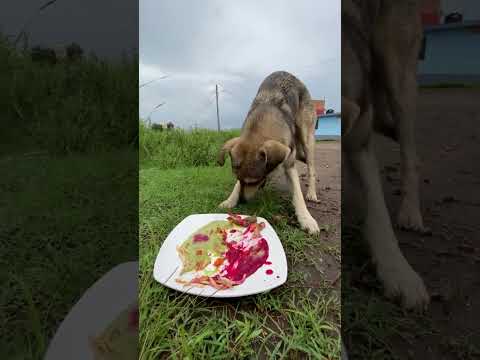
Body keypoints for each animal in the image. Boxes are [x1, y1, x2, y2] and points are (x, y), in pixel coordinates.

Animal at [218, 71, 318, 233]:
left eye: (254, 181)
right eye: (237, 178)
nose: (242, 201)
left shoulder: (289, 164)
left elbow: (297, 194)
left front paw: (306, 218)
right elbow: (237, 186)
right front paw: (230, 199)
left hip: (307, 139)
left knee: (311, 168)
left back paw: (311, 193)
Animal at [344, 0, 430, 310]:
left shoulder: (359, 140)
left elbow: (378, 211)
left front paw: (400, 273)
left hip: (398, 73)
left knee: (410, 153)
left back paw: (410, 212)